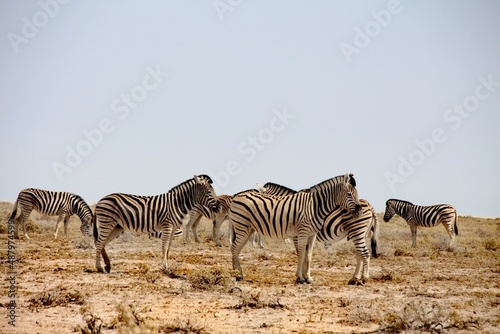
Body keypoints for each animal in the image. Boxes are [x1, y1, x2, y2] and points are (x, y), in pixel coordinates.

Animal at [229, 174, 362, 284]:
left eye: (356, 193)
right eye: (349, 194)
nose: (359, 211)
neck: (315, 206)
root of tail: (236, 196)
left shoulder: (312, 234)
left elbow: (309, 255)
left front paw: (308, 278)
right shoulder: (301, 233)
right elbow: (301, 254)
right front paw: (300, 278)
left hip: (248, 229)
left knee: (236, 249)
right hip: (242, 227)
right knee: (235, 248)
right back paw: (237, 275)